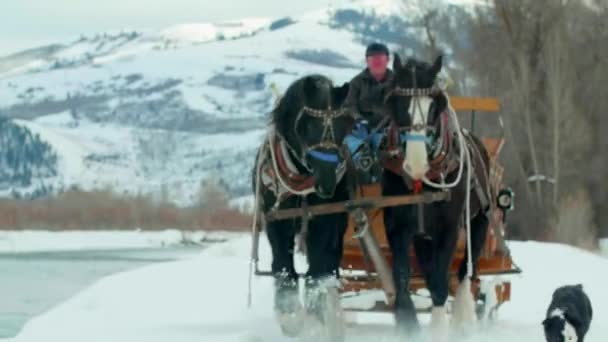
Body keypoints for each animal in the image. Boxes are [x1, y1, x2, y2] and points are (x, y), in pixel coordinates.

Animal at [252, 74, 354, 340]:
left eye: (345, 126)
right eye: (305, 126)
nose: (327, 184)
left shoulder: (326, 220)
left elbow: (317, 271)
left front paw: (315, 321)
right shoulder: (277, 219)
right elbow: (282, 267)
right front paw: (290, 317)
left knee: (329, 266)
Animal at [380, 54, 494, 340]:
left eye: (435, 106)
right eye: (397, 104)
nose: (416, 164)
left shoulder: (449, 229)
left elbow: (442, 283)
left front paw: (440, 327)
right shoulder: (397, 227)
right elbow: (402, 276)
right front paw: (406, 321)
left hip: (479, 221)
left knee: (465, 273)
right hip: (423, 238)